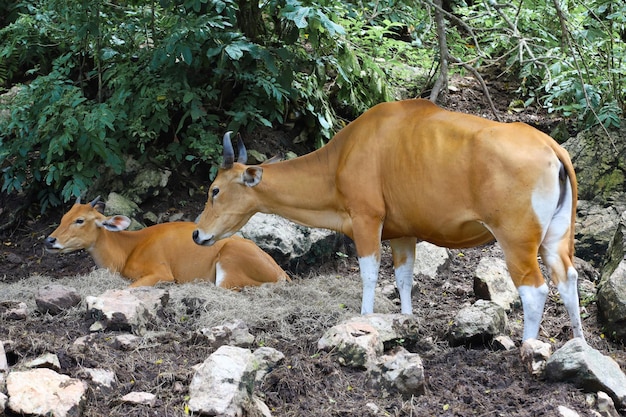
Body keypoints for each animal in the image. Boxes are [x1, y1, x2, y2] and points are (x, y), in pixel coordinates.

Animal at [193, 99, 584, 340]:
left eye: (214, 190)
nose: (197, 234)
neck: (341, 158)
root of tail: (551, 146)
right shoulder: (402, 234)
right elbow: (404, 280)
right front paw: (406, 324)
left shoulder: (367, 219)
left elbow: (368, 275)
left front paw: (365, 321)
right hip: (555, 239)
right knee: (568, 279)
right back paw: (578, 346)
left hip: (516, 239)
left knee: (535, 290)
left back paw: (528, 347)